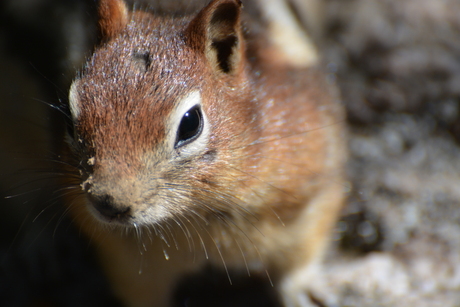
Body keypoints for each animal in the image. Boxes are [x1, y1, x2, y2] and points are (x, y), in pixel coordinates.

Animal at [63, 1, 344, 306]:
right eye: (69, 120)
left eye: (190, 123)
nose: (108, 203)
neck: (195, 211)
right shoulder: (124, 258)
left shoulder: (312, 194)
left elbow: (301, 258)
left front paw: (303, 288)